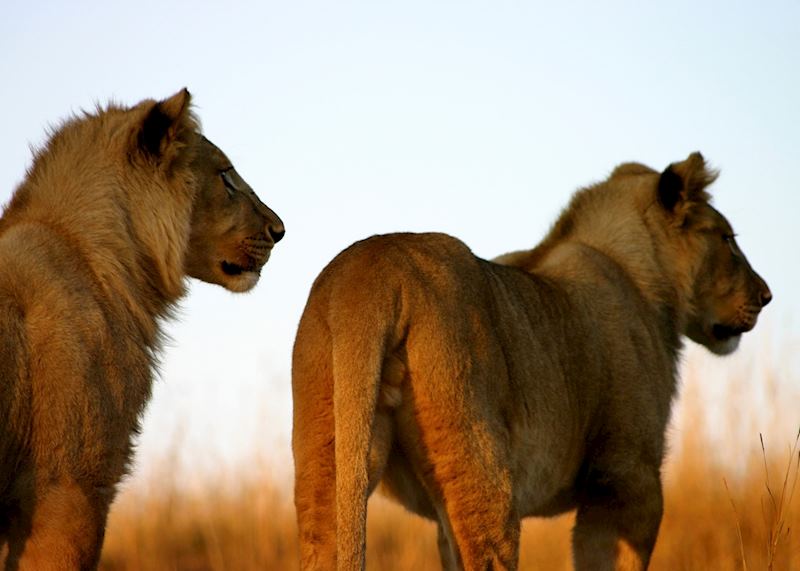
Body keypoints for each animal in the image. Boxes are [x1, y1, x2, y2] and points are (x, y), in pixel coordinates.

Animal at [291, 152, 771, 571]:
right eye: (728, 239)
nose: (766, 296)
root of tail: (374, 270)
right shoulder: (627, 480)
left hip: (330, 457)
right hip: (481, 467)